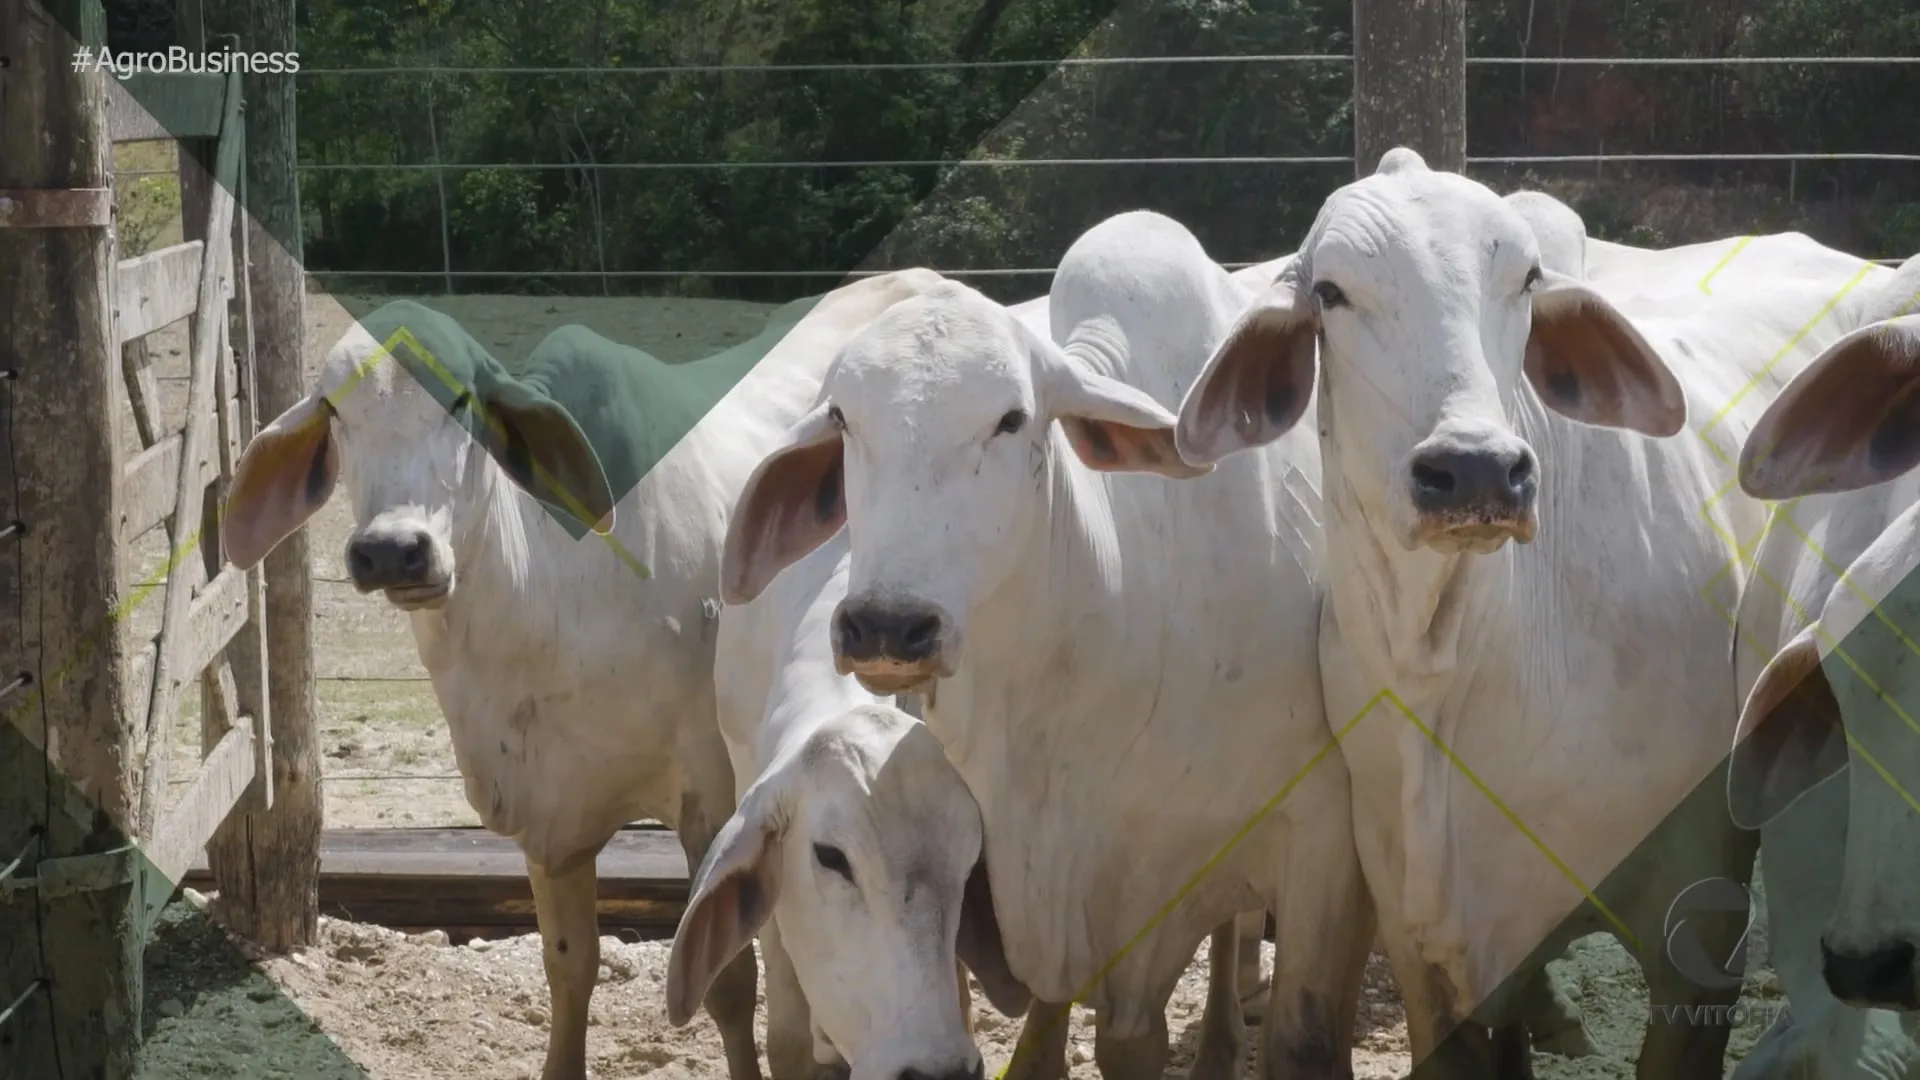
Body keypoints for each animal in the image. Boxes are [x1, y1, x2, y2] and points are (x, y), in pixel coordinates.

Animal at [220, 267, 948, 1076]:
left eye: (462, 401)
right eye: (335, 412)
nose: (392, 551)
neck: (553, 598)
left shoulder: (712, 798)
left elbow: (728, 984)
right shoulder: (547, 816)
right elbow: (569, 967)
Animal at [1159, 147, 1881, 1068]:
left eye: (1527, 279)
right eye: (1330, 291)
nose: (1475, 469)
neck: (1449, 664)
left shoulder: (1699, 924)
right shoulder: (1425, 941)